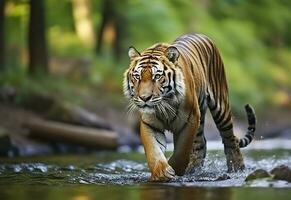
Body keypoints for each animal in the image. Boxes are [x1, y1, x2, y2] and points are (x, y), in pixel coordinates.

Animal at [123, 33, 258, 181]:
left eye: (157, 76)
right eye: (137, 77)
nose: (144, 98)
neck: (165, 104)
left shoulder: (190, 119)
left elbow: (182, 151)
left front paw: (174, 168)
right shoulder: (150, 124)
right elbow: (153, 150)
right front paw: (161, 172)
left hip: (221, 107)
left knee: (230, 139)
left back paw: (236, 168)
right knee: (201, 144)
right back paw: (193, 169)